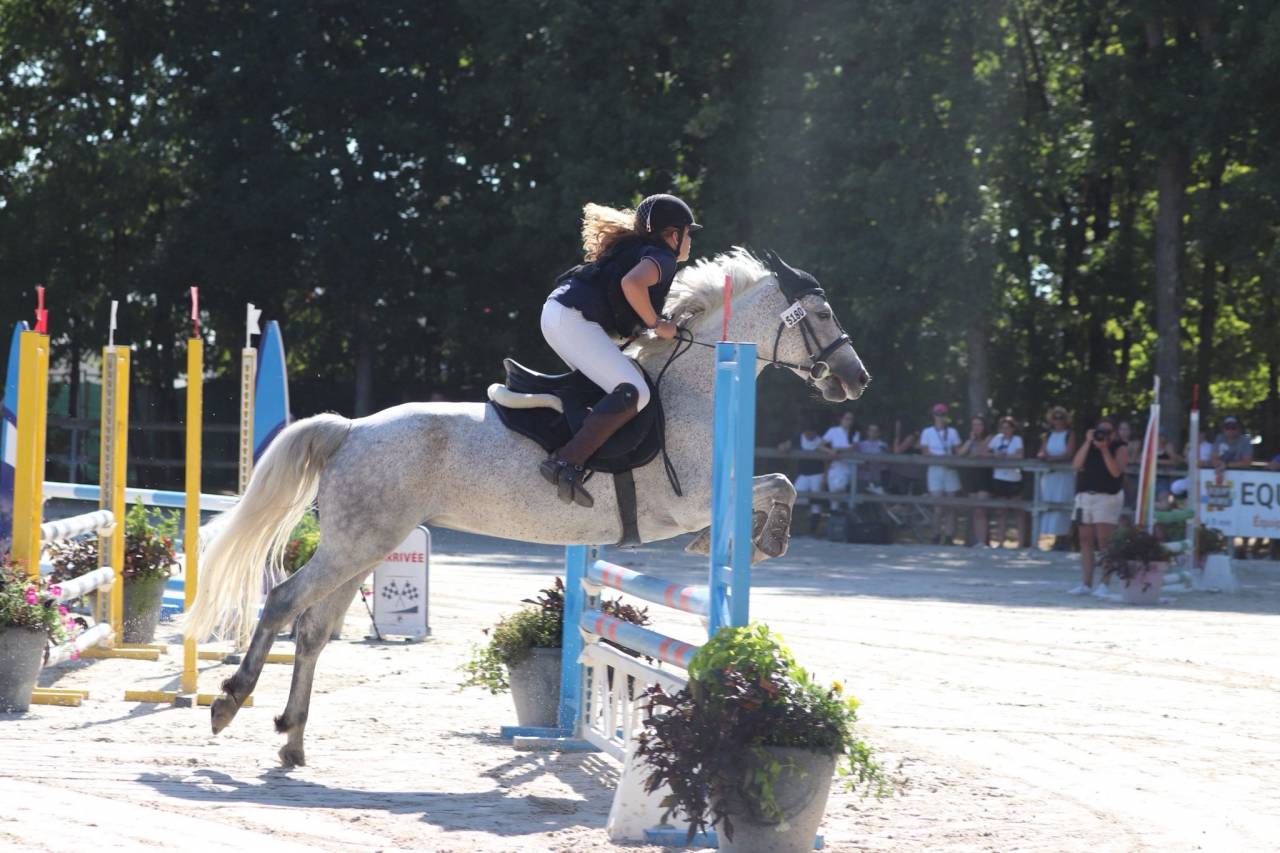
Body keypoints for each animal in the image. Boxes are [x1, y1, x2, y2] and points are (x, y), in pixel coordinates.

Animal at [186, 248, 870, 767]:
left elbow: (779, 482)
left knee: (312, 632)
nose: (856, 378)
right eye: (822, 312)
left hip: (364, 548)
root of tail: (351, 429)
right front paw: (761, 542)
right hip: (354, 546)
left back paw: (292, 741)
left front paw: (757, 541)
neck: (695, 387)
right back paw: (228, 702)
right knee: (282, 603)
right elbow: (777, 484)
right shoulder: (691, 504)